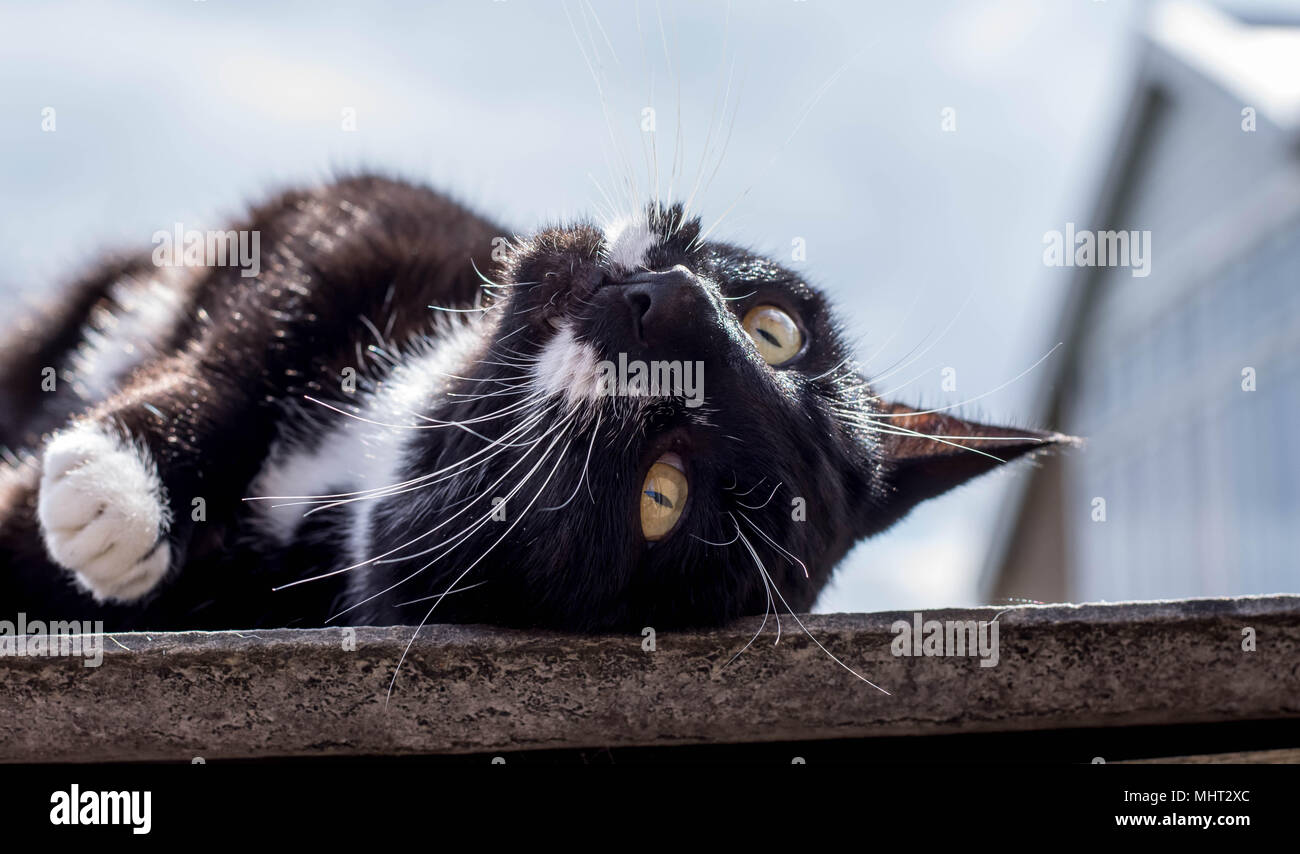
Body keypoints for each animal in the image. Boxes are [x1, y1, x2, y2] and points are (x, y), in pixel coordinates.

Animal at [0, 172, 1066, 629]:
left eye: (661, 498)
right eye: (776, 330)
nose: (674, 307)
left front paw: (101, 507)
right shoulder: (374, 216)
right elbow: (251, 338)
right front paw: (129, 480)